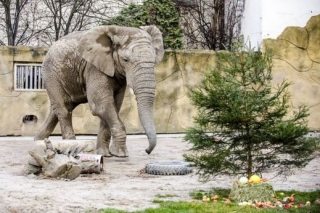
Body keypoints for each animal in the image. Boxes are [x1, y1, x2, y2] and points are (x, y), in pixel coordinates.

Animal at [34, 25, 165, 158]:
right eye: (125, 60)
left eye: (154, 60)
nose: (147, 151)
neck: (119, 30)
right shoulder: (94, 67)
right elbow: (101, 106)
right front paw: (121, 154)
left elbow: (113, 106)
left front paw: (105, 154)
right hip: (51, 74)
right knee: (64, 109)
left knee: (57, 109)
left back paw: (38, 141)